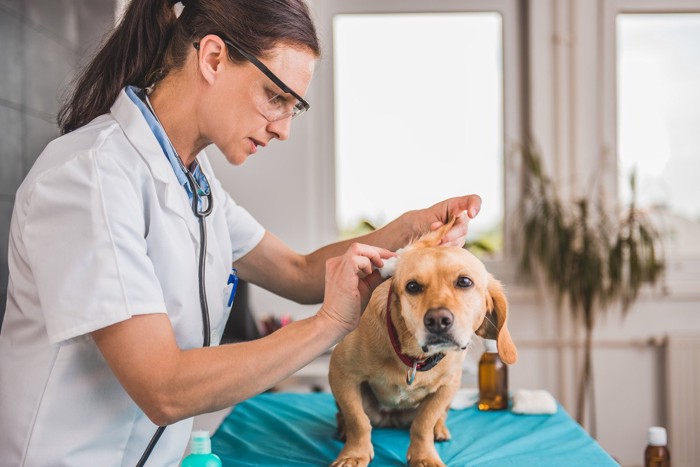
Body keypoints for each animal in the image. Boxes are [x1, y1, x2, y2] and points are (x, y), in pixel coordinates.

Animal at [326, 223, 516, 467]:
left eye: (464, 281)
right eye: (413, 286)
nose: (438, 320)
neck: (414, 358)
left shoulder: (447, 387)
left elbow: (423, 423)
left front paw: (423, 455)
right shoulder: (342, 375)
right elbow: (357, 421)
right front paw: (354, 454)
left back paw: (440, 429)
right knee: (346, 416)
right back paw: (342, 430)